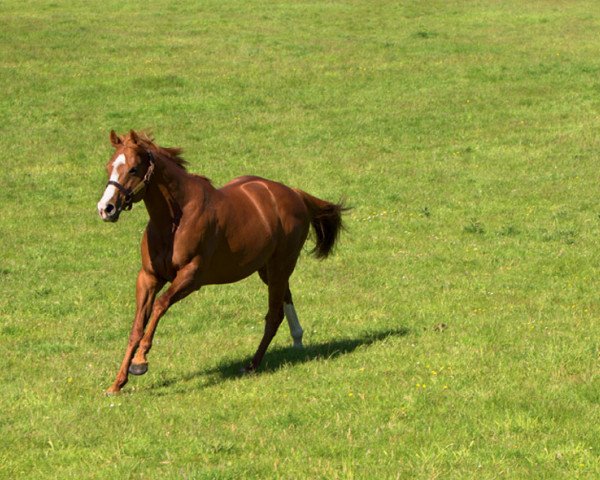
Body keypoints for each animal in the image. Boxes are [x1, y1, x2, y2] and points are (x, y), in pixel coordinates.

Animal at [96, 130, 344, 394]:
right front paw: (117, 383)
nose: (106, 208)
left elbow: (160, 305)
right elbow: (137, 327)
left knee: (274, 315)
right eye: (109, 166)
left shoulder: (191, 277)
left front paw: (140, 362)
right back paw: (297, 340)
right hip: (268, 270)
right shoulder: (148, 277)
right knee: (284, 300)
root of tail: (295, 194)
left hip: (280, 266)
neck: (175, 220)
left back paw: (252, 364)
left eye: (133, 169)